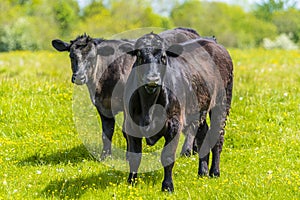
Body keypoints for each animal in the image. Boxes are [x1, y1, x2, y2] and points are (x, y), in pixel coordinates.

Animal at [119, 33, 232, 192]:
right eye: (140, 56)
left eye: (163, 57)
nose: (152, 79)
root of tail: (211, 41)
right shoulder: (131, 125)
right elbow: (135, 157)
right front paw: (132, 183)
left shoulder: (174, 124)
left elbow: (167, 157)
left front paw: (167, 186)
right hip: (199, 109)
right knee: (203, 134)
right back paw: (202, 171)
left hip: (222, 104)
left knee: (218, 136)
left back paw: (214, 172)